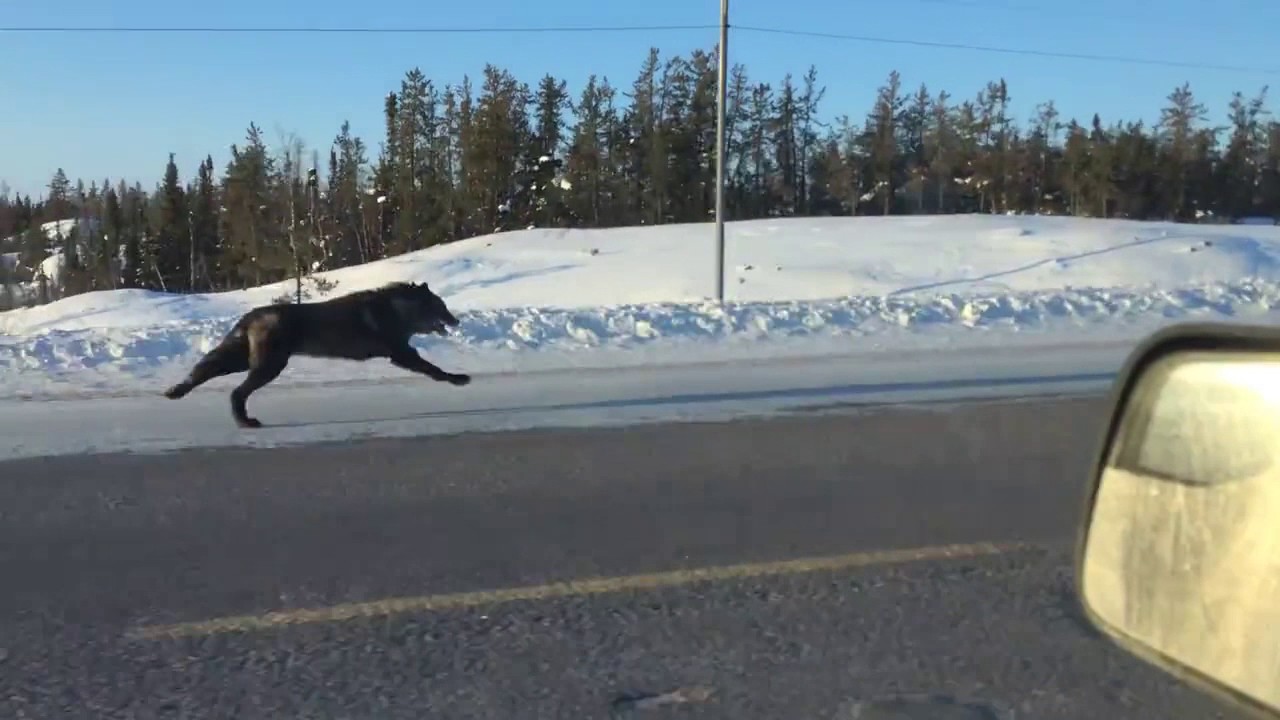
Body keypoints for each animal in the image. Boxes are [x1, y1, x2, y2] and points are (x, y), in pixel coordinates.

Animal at [162, 280, 473, 425]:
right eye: (441, 305)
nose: (456, 321)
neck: (400, 311)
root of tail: (251, 315)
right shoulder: (401, 353)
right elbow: (434, 370)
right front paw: (460, 379)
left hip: (243, 359)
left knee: (206, 368)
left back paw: (175, 392)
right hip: (269, 364)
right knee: (236, 391)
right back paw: (246, 422)